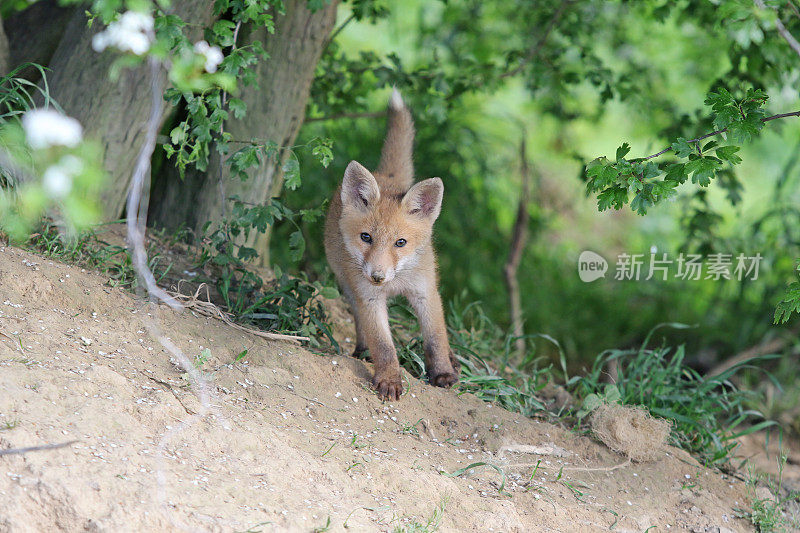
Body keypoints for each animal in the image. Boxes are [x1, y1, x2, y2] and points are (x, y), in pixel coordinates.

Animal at [324, 90, 460, 400]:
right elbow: (384, 346)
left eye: (401, 242)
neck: (395, 283)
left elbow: (435, 338)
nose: (377, 276)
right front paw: (388, 379)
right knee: (361, 325)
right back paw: (362, 352)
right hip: (347, 284)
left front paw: (442, 373)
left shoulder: (425, 292)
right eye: (366, 237)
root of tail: (386, 177)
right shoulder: (369, 298)